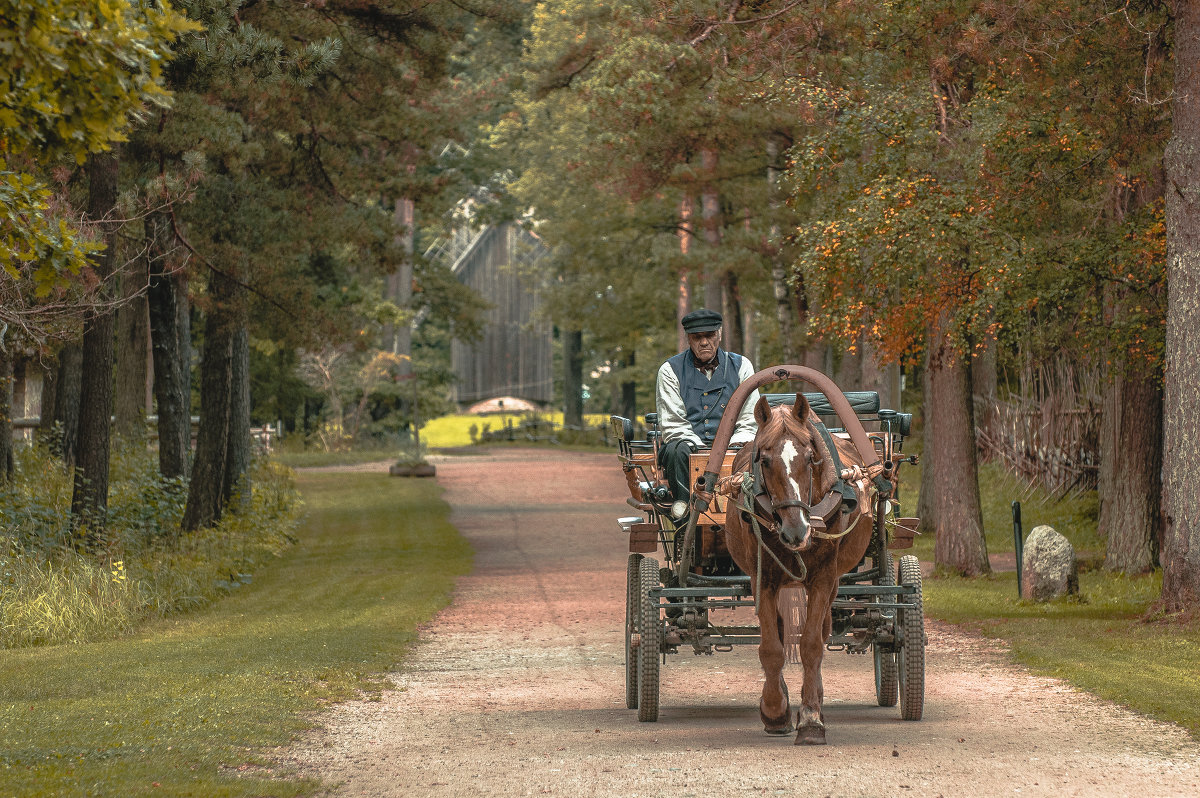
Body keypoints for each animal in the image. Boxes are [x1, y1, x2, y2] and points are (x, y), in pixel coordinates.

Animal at [720, 388, 873, 744]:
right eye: (764, 460)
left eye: (809, 458)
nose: (796, 531)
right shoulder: (762, 578)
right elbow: (771, 649)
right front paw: (775, 711)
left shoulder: (822, 578)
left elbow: (812, 645)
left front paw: (811, 718)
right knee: (776, 631)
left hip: (831, 583)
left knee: (823, 630)